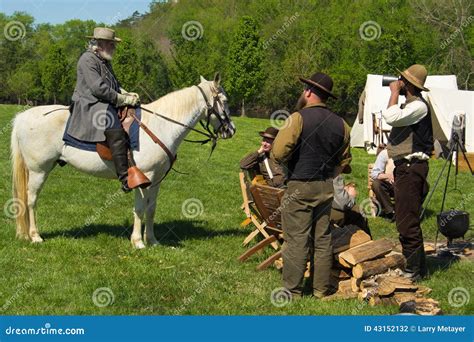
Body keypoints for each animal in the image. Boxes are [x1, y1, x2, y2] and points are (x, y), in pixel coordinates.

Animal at [9, 73, 235, 248]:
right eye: (224, 100)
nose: (231, 130)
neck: (161, 125)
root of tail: (23, 117)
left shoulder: (156, 180)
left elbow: (151, 209)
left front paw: (152, 241)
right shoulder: (143, 178)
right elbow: (140, 209)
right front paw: (138, 242)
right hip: (39, 171)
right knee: (31, 200)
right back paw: (35, 236)